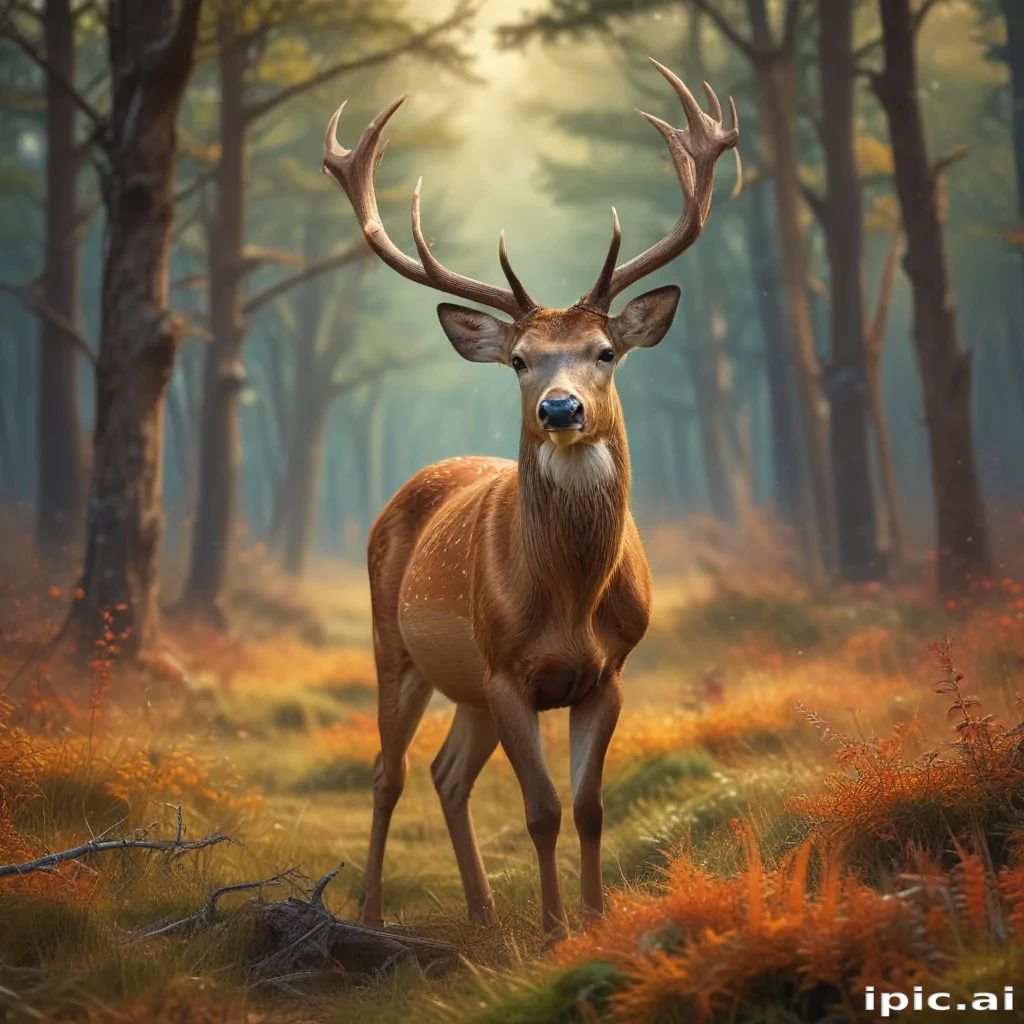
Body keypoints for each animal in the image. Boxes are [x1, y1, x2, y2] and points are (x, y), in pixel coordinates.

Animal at [322, 59, 738, 935]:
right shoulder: (508, 670)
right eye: (519, 359)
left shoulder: (608, 673)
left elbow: (589, 808)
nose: (560, 409)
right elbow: (542, 808)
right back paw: (371, 913)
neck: (569, 602)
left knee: (446, 773)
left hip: (467, 686)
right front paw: (550, 929)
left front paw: (593, 918)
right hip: (393, 641)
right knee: (388, 772)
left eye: (606, 351)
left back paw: (482, 912)